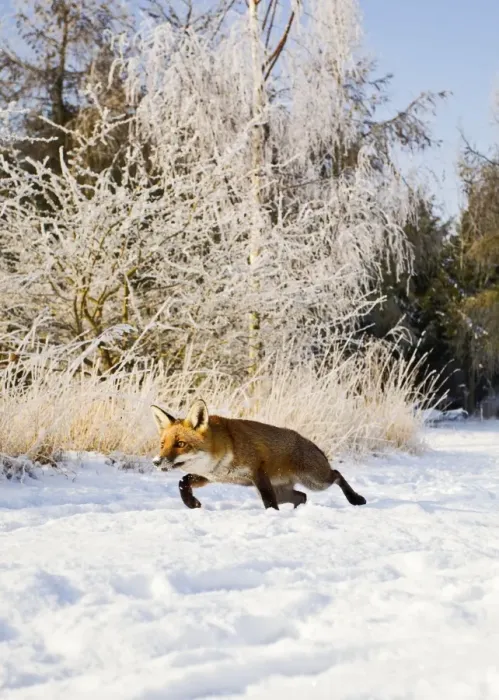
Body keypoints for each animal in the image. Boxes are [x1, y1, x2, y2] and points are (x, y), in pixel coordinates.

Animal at [150, 398, 366, 511]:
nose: (156, 462)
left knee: (336, 475)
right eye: (162, 444)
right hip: (287, 491)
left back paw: (355, 499)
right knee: (301, 496)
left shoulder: (258, 473)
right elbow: (183, 481)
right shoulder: (211, 476)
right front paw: (191, 503)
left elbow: (268, 501)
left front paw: (272, 515)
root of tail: (308, 442)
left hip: (315, 481)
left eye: (180, 444)